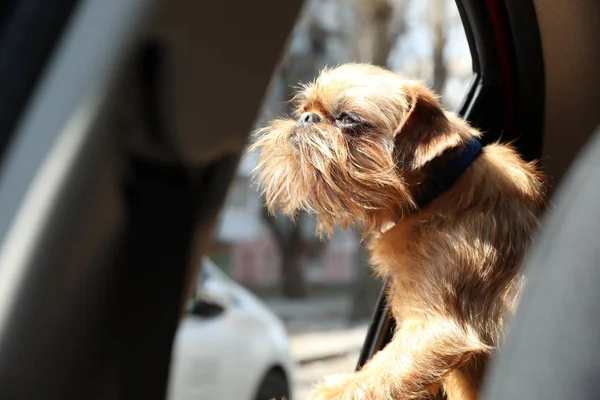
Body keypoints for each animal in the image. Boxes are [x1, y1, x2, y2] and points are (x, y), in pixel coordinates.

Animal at [251, 64, 548, 398]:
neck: (442, 189)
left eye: (347, 119)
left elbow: (369, 380)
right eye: (303, 109)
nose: (307, 118)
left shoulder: (434, 332)